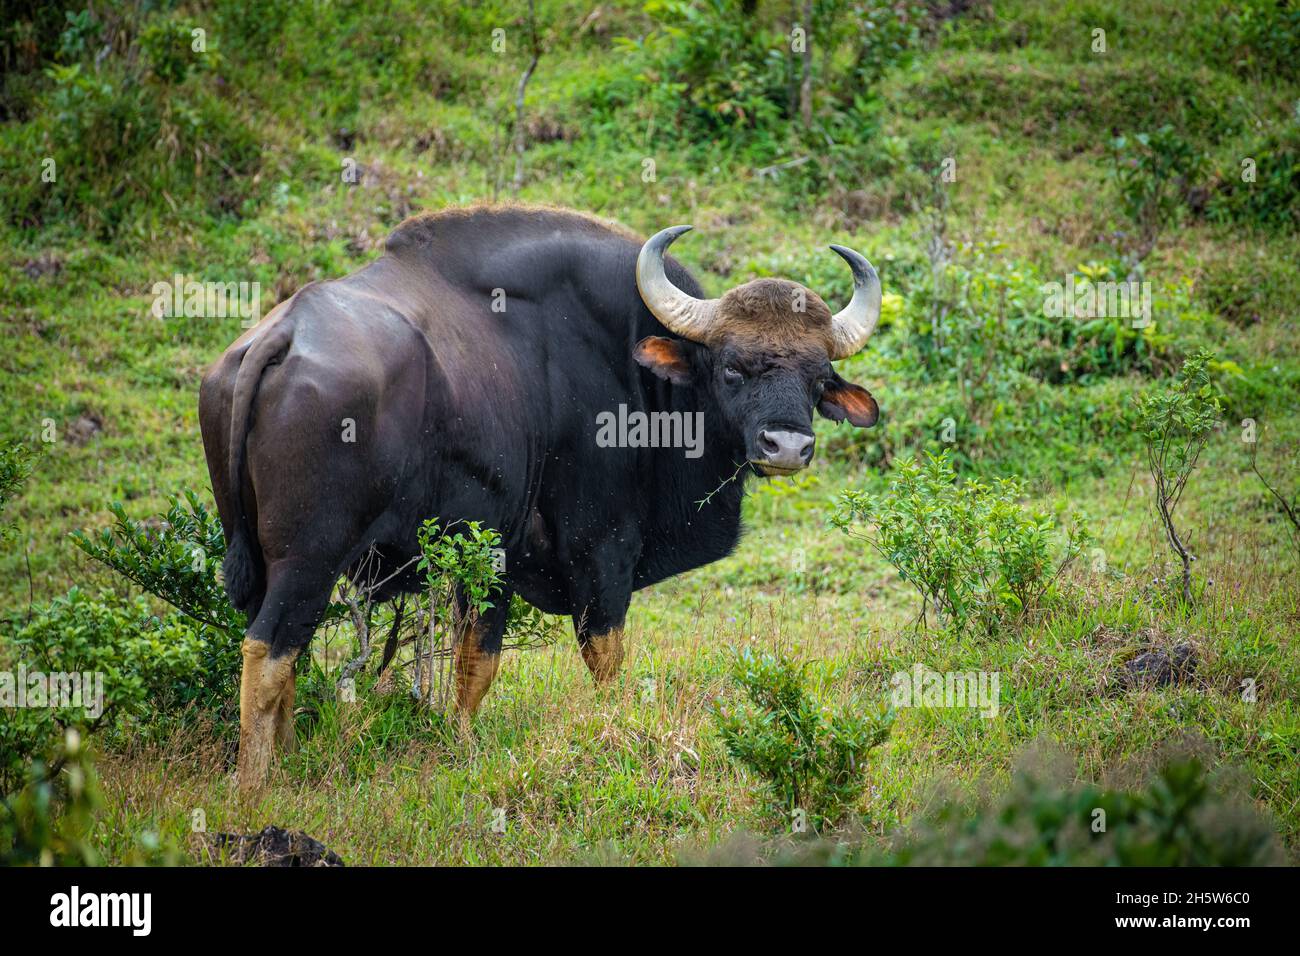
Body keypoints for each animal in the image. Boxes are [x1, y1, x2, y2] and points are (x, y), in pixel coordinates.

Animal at [200, 205, 883, 790]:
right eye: (733, 367)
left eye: (818, 376)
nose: (786, 446)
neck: (630, 367)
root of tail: (280, 338)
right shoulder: (598, 549)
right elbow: (590, 660)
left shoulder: (489, 560)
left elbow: (473, 663)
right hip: (310, 557)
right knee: (268, 648)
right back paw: (256, 783)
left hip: (258, 557)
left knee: (279, 648)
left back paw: (288, 758)